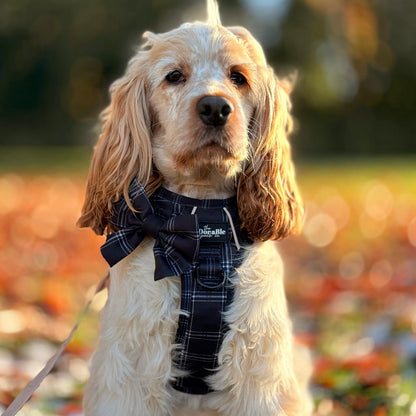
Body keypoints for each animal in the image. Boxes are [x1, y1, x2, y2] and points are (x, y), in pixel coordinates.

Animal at [78, 1, 312, 414]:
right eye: (174, 76)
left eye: (238, 78)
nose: (215, 106)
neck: (200, 222)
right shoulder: (130, 369)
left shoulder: (258, 372)